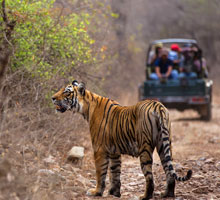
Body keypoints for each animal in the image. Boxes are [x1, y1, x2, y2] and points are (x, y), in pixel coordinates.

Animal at [51, 80, 191, 200]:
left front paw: (96, 192)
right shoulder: (114, 151)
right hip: (164, 144)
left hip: (145, 147)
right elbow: (115, 172)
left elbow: (100, 172)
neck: (87, 108)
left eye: (66, 92)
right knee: (169, 170)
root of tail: (158, 106)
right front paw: (114, 193)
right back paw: (167, 194)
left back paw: (145, 196)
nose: (52, 98)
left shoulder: (99, 149)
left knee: (149, 176)